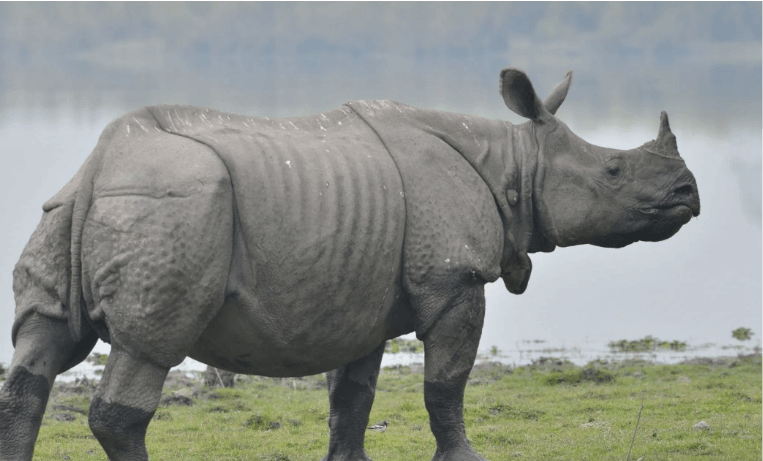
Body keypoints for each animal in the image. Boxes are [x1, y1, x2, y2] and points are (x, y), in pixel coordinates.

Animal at [0, 68, 699, 460]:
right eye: (614, 172)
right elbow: (446, 384)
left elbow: (353, 396)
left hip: (72, 209)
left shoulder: (360, 292)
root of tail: (100, 167)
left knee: (43, 345)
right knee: (148, 347)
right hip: (174, 211)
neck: (513, 163)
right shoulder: (454, 279)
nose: (689, 193)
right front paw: (466, 457)